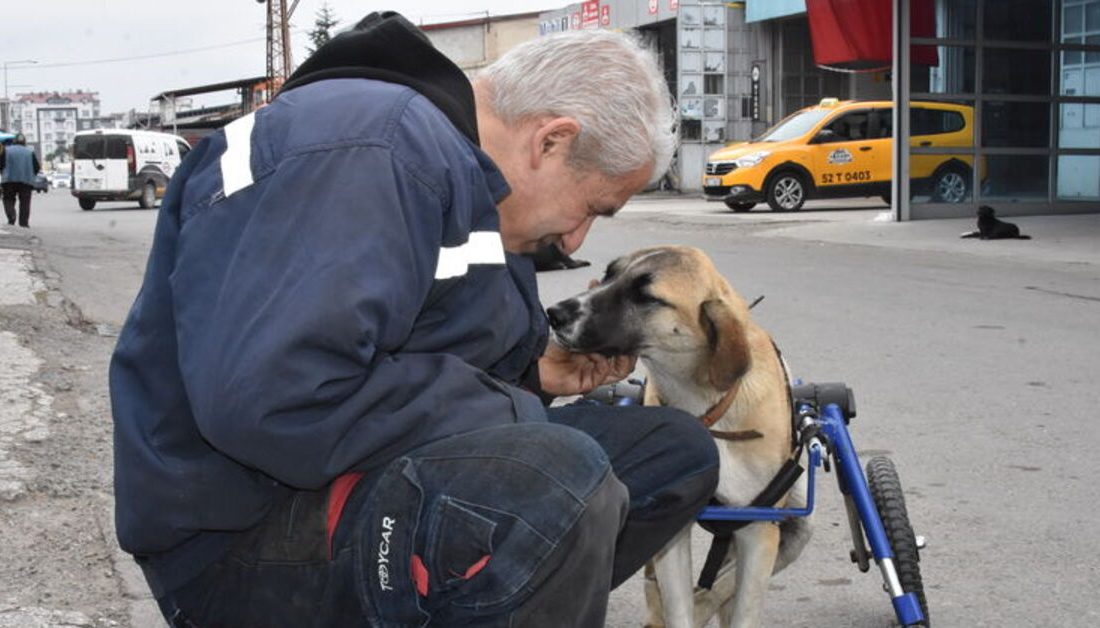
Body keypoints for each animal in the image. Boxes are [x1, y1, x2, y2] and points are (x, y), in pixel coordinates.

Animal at [547, 245, 814, 628]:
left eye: (646, 296)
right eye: (610, 274)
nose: (554, 314)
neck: (705, 407)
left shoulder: (758, 529)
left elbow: (742, 607)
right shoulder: (674, 535)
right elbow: (677, 607)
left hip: (794, 528)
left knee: (725, 583)